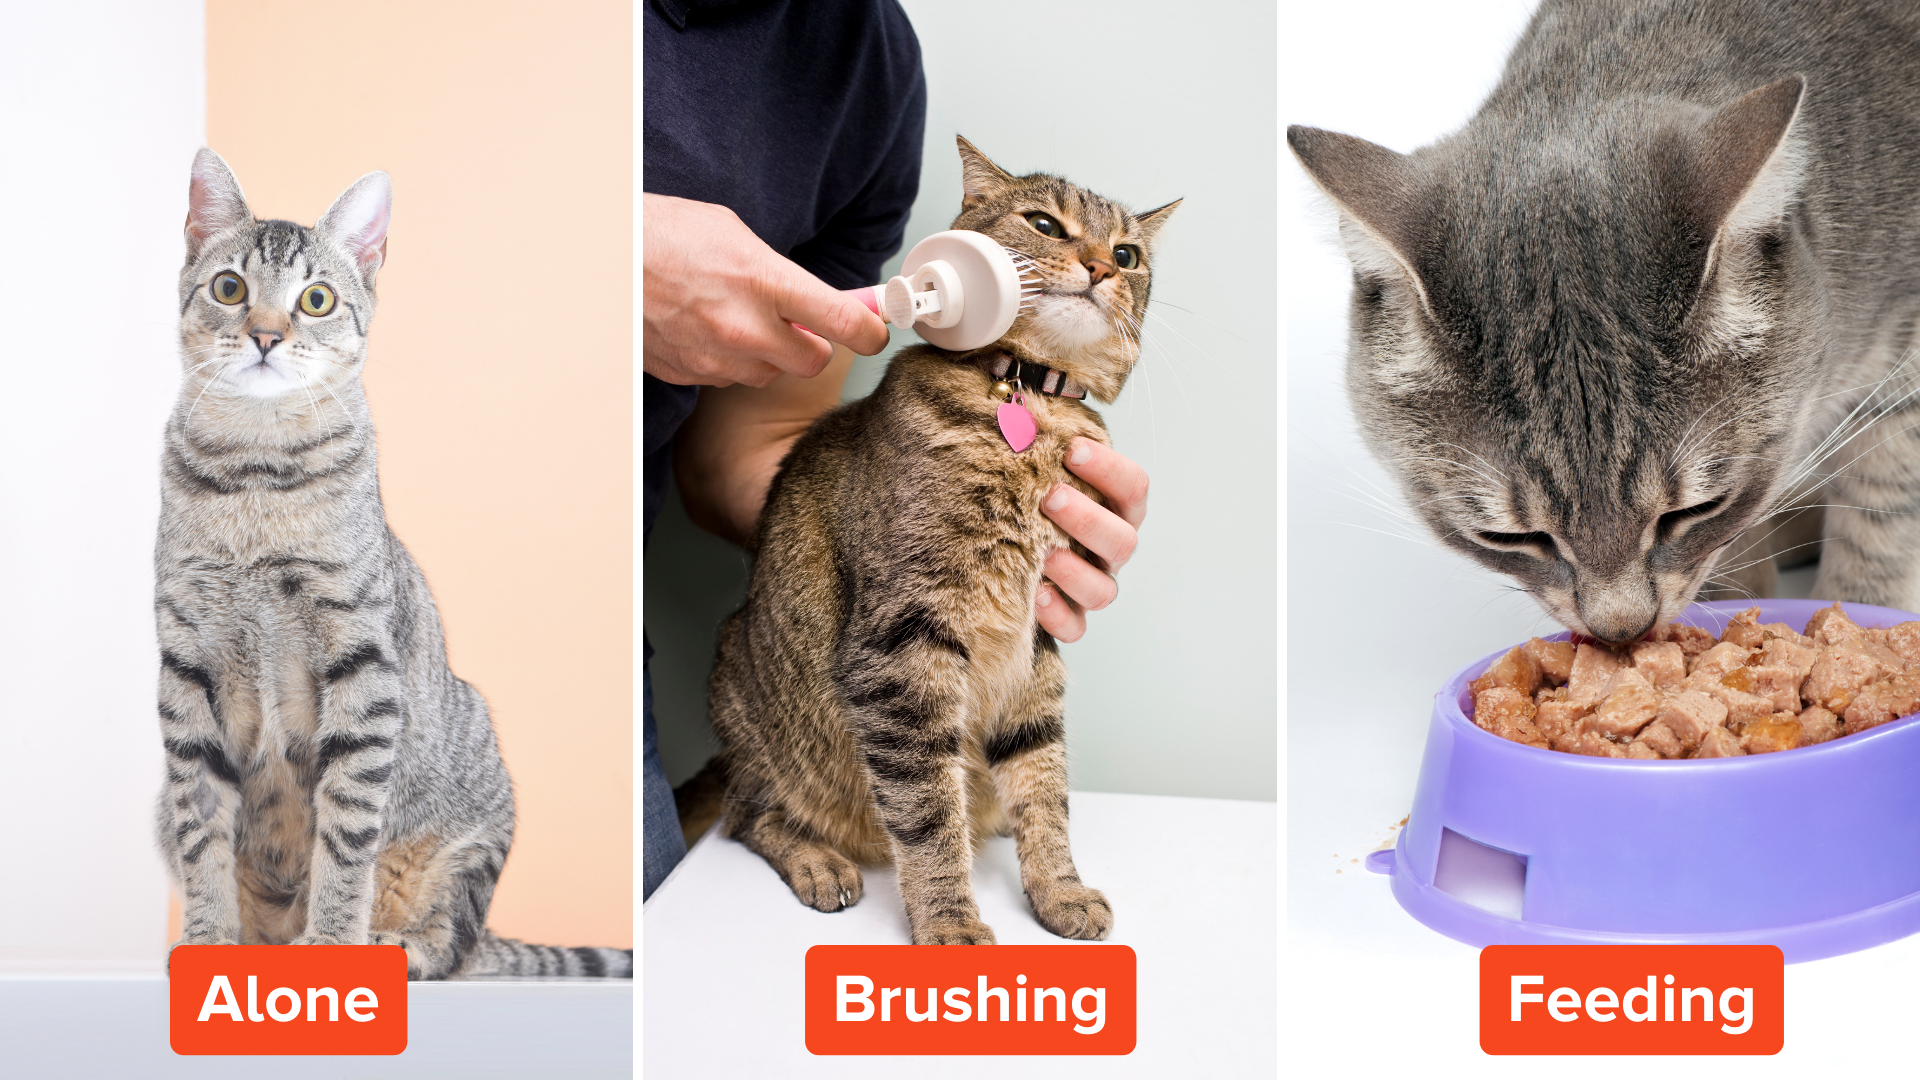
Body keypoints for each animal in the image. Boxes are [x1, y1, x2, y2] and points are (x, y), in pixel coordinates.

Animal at [155, 148, 629, 976]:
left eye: (315, 300)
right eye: (230, 288)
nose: (266, 336)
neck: (254, 473)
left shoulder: (362, 663)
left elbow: (346, 834)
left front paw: (332, 942)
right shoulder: (185, 670)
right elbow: (201, 828)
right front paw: (209, 943)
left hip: (473, 822)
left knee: (454, 942)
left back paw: (393, 945)